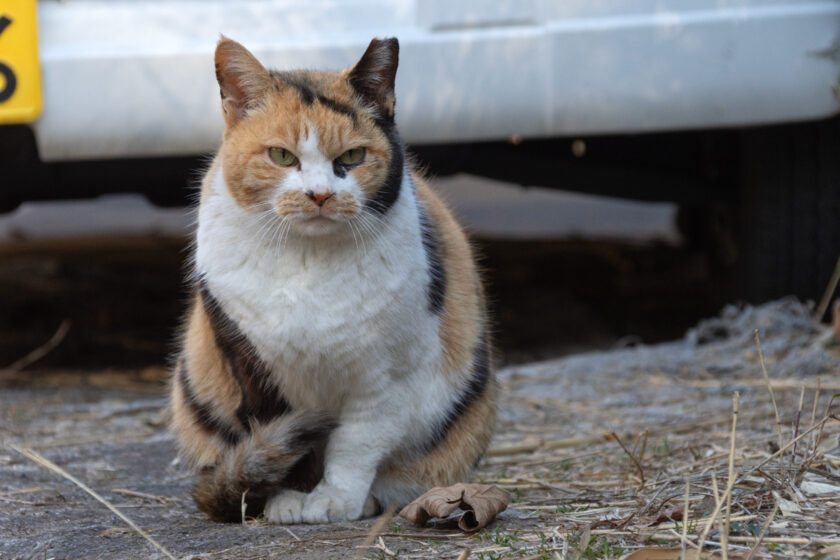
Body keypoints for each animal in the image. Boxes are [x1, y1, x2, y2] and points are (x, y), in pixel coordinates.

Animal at [171, 37, 496, 524]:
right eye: (281, 156)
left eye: (352, 157)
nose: (320, 194)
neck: (309, 261)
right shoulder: (248, 365)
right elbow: (280, 444)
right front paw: (287, 499)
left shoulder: (387, 380)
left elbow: (354, 444)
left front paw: (335, 500)